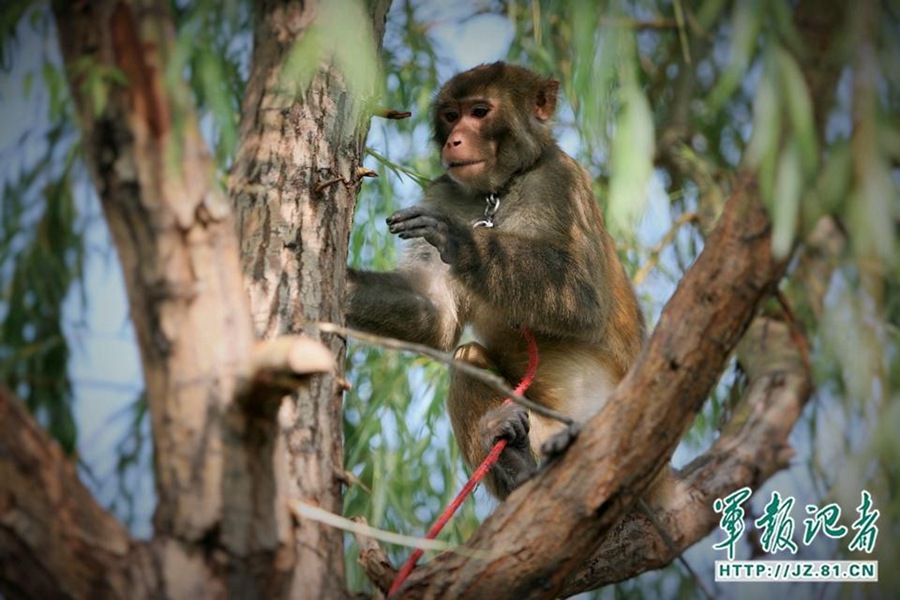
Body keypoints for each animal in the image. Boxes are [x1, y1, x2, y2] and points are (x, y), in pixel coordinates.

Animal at [346, 63, 648, 500]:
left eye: (479, 112)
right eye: (451, 115)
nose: (455, 139)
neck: (498, 191)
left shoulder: (561, 181)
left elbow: (582, 299)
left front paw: (461, 241)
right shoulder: (443, 192)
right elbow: (436, 315)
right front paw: (344, 286)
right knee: (468, 356)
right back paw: (517, 465)